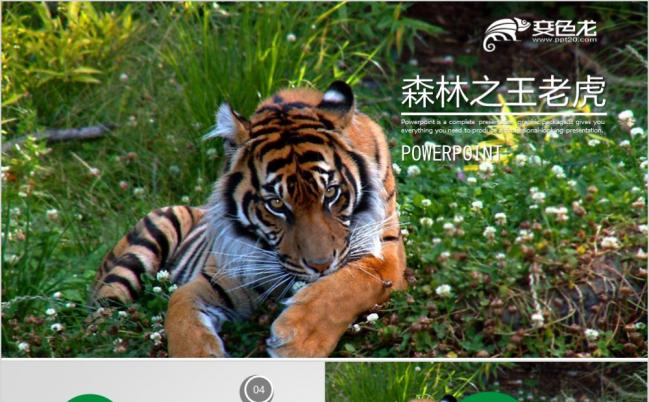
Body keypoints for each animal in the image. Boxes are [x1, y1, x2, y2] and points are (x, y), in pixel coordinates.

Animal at [93, 81, 406, 357]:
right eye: (276, 204)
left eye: (330, 192)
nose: (320, 266)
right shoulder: (222, 275)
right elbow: (179, 310)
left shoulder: (386, 252)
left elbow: (348, 284)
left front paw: (297, 340)